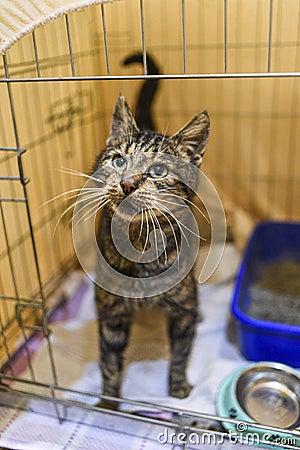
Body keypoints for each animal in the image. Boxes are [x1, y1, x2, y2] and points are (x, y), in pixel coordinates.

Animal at [92, 53, 210, 404]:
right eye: (118, 161)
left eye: (158, 171)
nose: (128, 182)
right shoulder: (112, 315)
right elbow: (109, 362)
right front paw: (108, 403)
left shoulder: (182, 311)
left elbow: (181, 352)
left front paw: (178, 387)